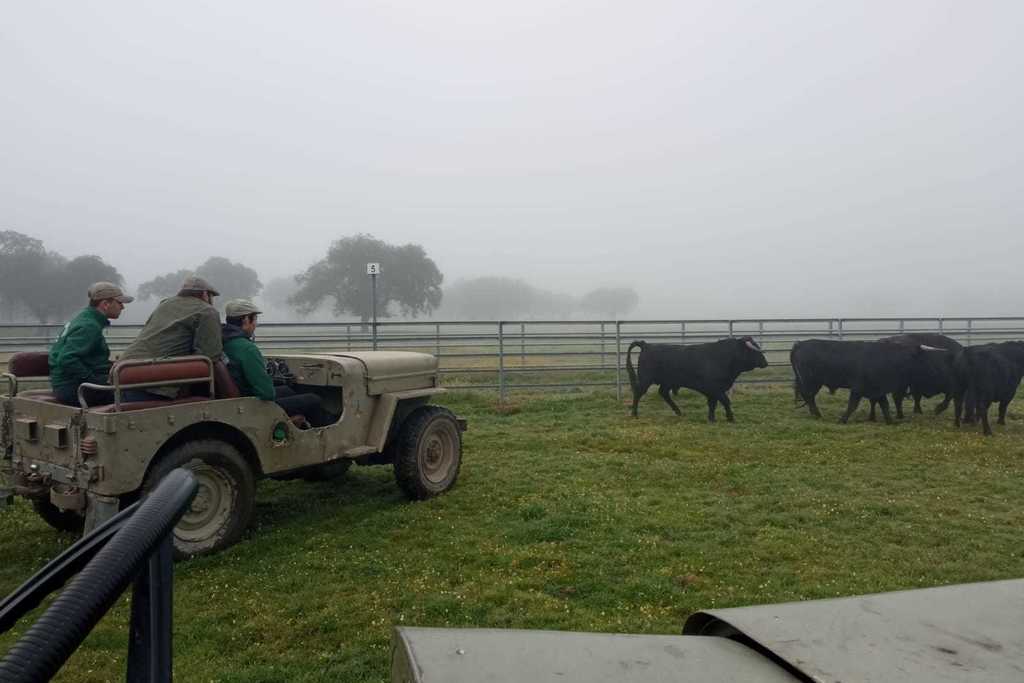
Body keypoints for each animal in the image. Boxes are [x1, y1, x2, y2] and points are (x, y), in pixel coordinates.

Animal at [622, 335, 770, 421]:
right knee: (638, 393)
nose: (765, 362)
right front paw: (730, 417)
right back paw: (634, 414)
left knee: (663, 393)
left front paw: (712, 418)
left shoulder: (713, 391)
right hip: (645, 379)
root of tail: (646, 345)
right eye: (753, 350)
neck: (724, 356)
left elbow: (713, 403)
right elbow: (725, 401)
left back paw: (678, 412)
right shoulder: (715, 388)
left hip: (667, 382)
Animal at [790, 339, 937, 423]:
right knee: (809, 397)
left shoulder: (878, 389)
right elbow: (852, 405)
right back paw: (817, 415)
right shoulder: (858, 388)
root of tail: (799, 344)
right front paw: (842, 419)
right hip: (811, 381)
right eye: (920, 358)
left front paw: (890, 421)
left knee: (808, 397)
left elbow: (884, 405)